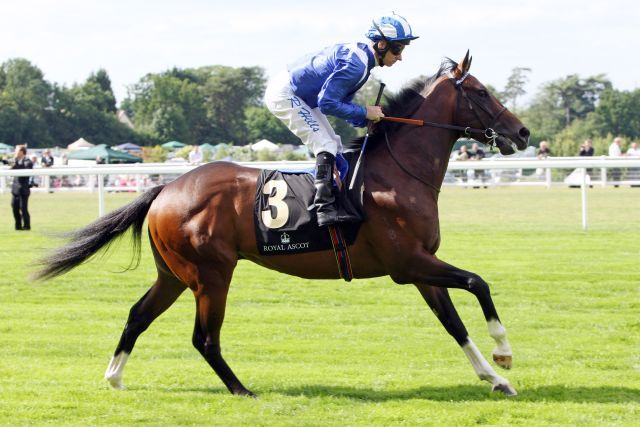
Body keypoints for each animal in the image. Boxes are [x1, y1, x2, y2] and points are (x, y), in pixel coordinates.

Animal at [37, 52, 528, 398]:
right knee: (204, 339)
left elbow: (454, 323)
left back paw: (114, 377)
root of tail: (166, 189)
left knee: (138, 315)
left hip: (174, 274)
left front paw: (496, 378)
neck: (397, 172)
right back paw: (242, 390)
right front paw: (504, 352)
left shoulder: (421, 265)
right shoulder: (407, 264)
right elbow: (478, 282)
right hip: (211, 275)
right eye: (481, 92)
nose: (522, 133)